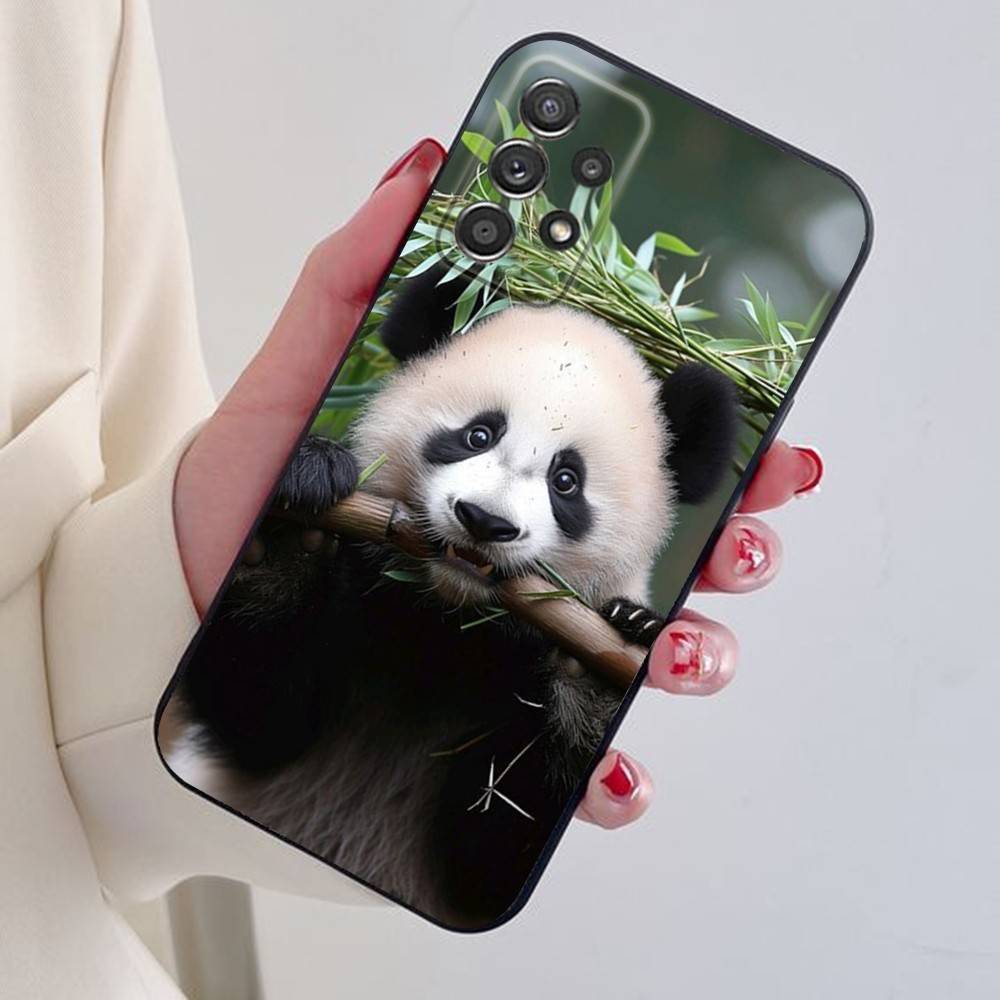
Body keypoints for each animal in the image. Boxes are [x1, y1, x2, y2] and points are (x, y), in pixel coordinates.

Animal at [173, 265, 737, 929]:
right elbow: (257, 709)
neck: (444, 620)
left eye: (566, 481)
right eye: (478, 434)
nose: (484, 521)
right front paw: (292, 528)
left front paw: (606, 664)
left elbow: (495, 844)